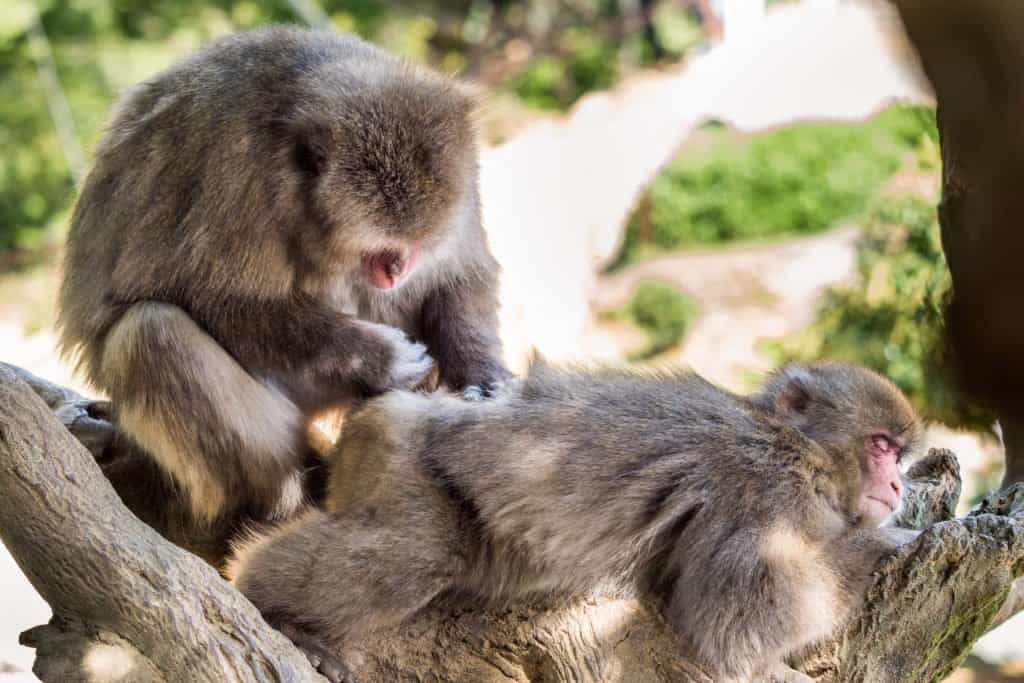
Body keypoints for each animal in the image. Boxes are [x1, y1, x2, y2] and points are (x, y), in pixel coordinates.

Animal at [56, 26, 510, 528]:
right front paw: (379, 356)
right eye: (381, 254)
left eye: (407, 251)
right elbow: (201, 295)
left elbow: (459, 273)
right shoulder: (238, 176)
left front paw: (480, 376)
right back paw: (280, 494)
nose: (396, 272)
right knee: (149, 333)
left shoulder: (465, 180)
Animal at [228, 360, 924, 682]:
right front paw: (888, 542)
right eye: (881, 446)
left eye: (900, 455)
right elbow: (736, 622)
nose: (895, 485)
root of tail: (388, 412)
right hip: (404, 462)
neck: (804, 451)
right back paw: (263, 599)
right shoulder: (765, 490)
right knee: (414, 553)